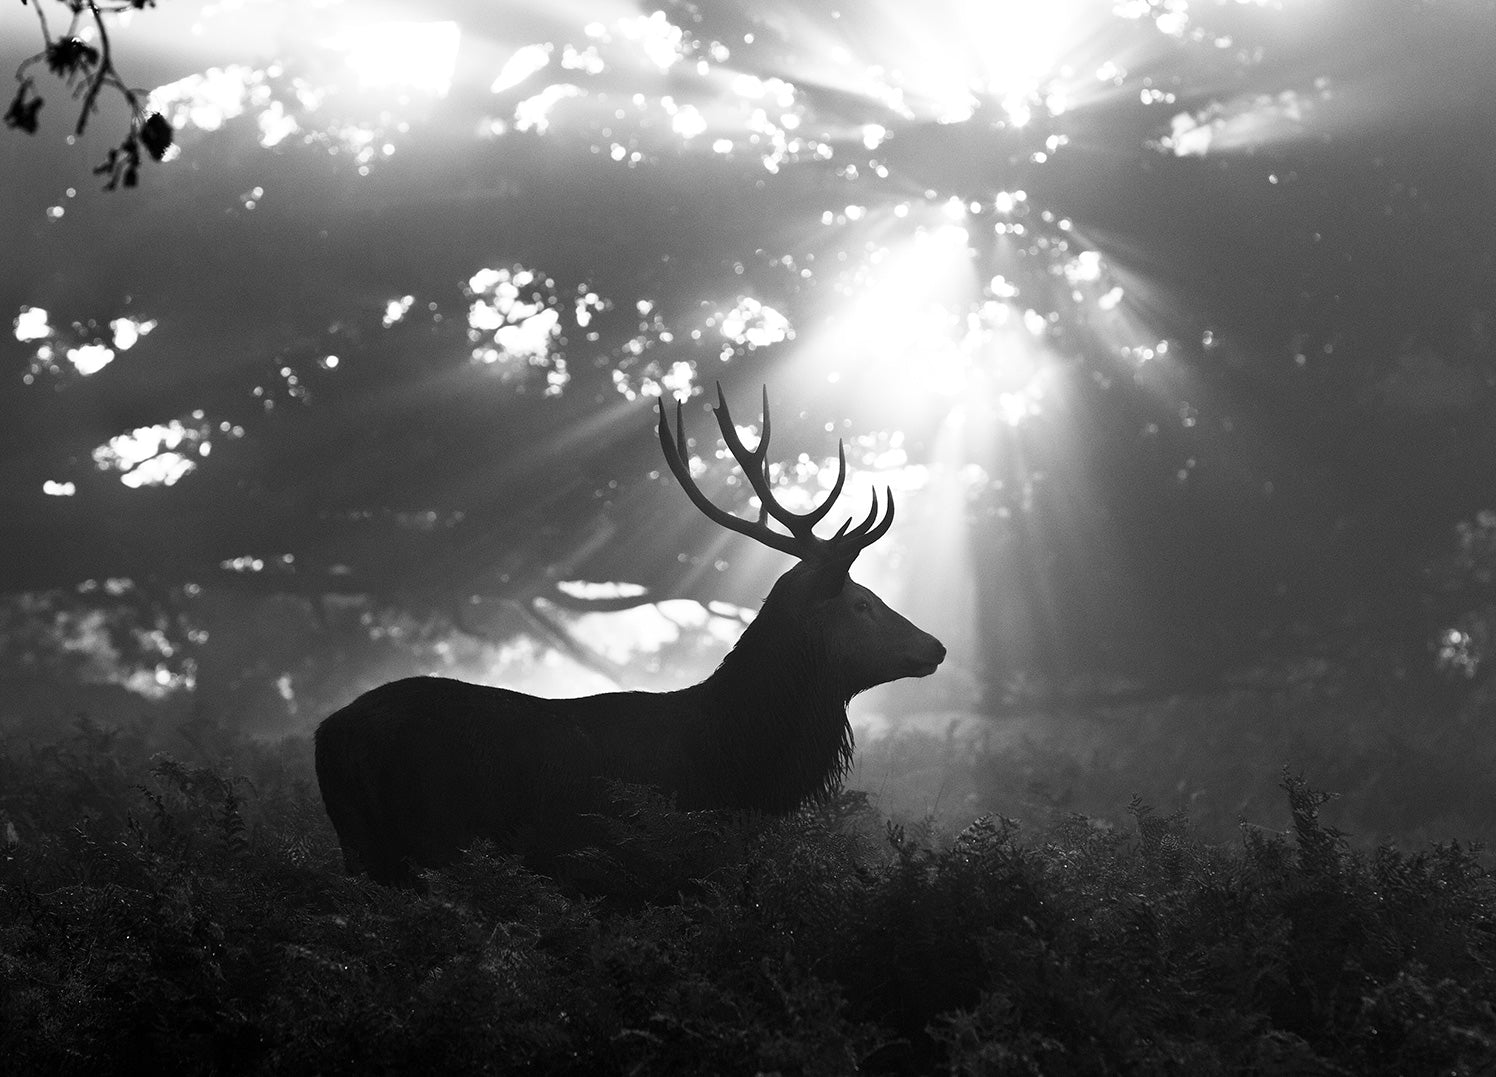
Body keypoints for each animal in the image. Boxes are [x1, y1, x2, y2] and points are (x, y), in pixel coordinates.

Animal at [314, 386, 946, 885]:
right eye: (862, 603)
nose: (936, 646)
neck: (736, 765)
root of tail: (328, 733)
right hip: (422, 840)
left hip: (363, 848)